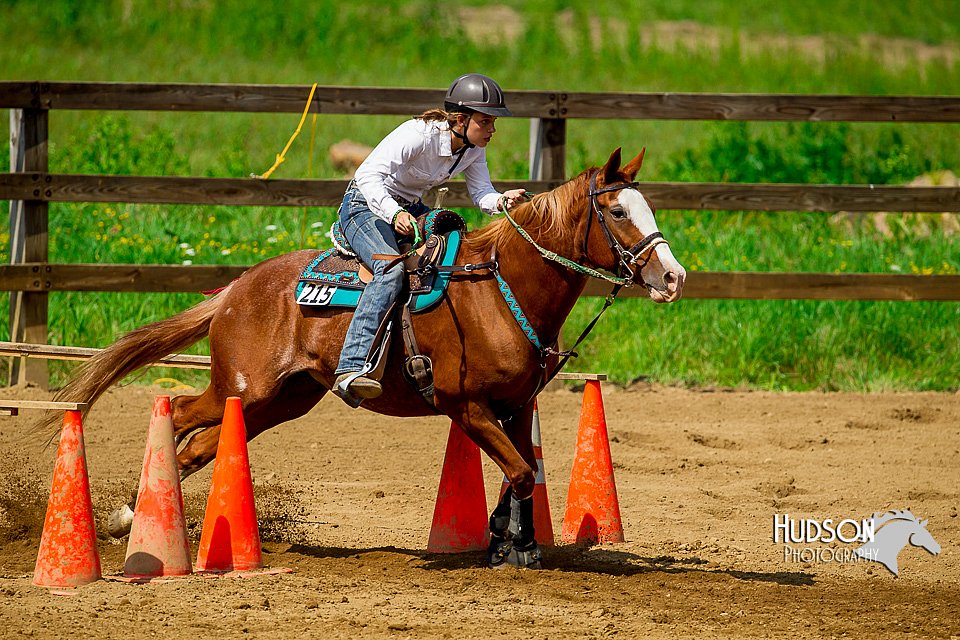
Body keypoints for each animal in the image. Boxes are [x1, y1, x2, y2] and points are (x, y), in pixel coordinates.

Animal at [43, 148, 684, 568]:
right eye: (619, 212)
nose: (672, 276)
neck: (498, 292)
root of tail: (236, 288)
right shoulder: (466, 406)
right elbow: (522, 470)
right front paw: (507, 541)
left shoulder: (516, 405)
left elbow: (522, 471)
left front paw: (513, 540)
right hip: (244, 388)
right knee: (176, 411)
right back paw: (130, 518)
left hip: (279, 401)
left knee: (200, 444)